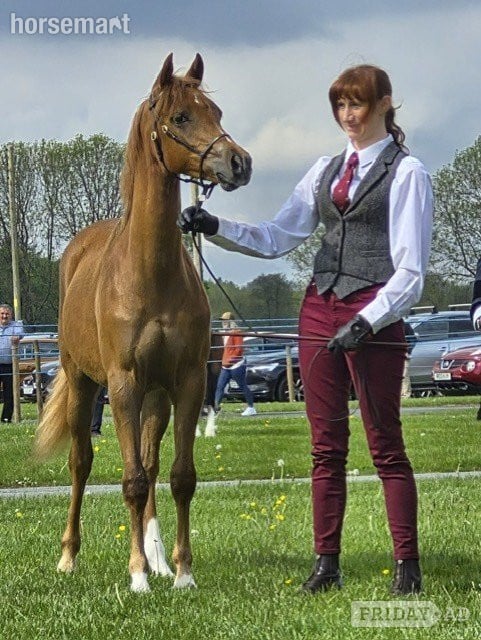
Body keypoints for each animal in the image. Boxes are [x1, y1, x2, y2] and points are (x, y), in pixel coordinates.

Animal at [34, 53, 251, 592]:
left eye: (216, 111)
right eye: (181, 117)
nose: (239, 162)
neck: (150, 274)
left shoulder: (187, 382)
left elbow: (179, 477)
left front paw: (181, 572)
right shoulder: (124, 384)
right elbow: (129, 480)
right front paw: (136, 578)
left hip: (156, 396)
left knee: (152, 466)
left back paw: (156, 556)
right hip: (84, 383)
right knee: (82, 464)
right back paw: (70, 556)